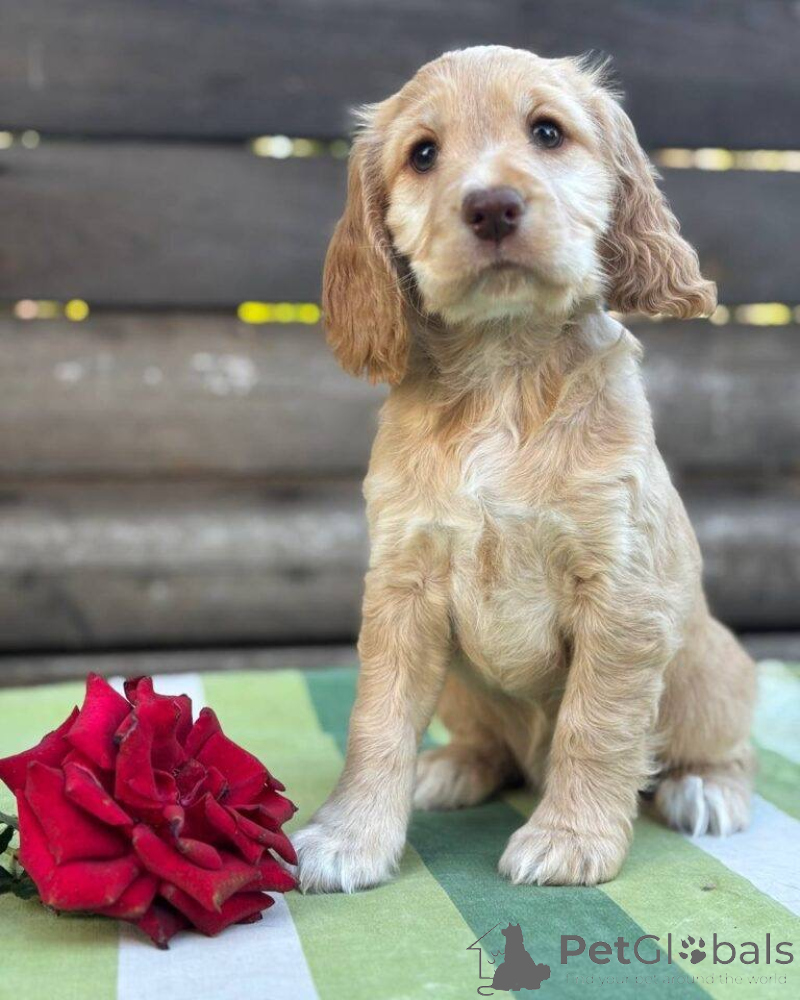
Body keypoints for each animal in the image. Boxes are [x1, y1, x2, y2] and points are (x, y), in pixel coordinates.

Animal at [294, 46, 755, 891]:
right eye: (423, 154)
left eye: (547, 132)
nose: (492, 207)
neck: (502, 374)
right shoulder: (404, 584)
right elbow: (377, 720)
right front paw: (349, 838)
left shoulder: (621, 590)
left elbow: (594, 724)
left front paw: (570, 839)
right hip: (462, 686)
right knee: (490, 745)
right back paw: (452, 766)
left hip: (711, 674)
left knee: (719, 748)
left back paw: (705, 788)